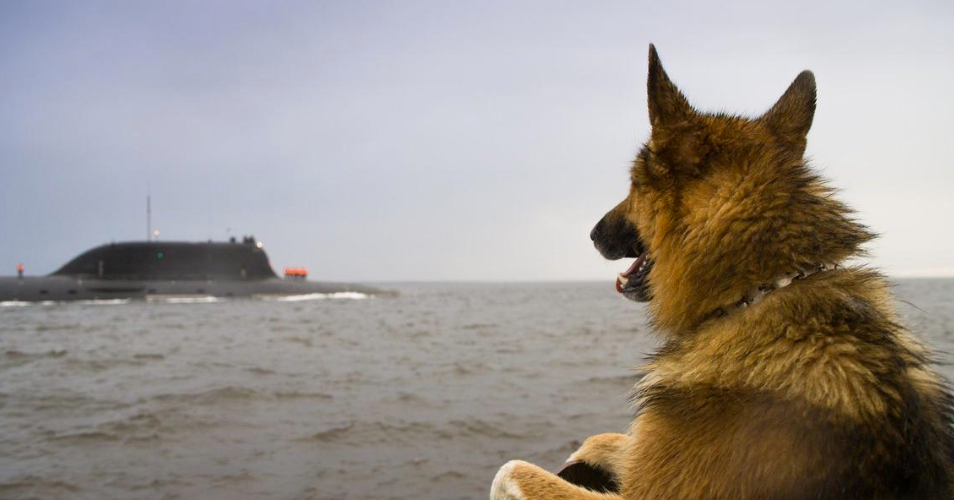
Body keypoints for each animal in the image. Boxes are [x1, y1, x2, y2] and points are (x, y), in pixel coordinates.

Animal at [490, 45, 952, 498]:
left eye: (633, 186)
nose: (591, 234)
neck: (758, 290)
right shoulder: (648, 456)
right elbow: (607, 439)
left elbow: (510, 469)